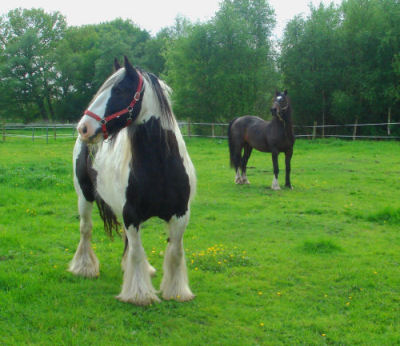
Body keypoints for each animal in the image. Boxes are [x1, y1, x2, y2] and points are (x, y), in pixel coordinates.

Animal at [69, 56, 197, 306]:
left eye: (119, 90)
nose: (83, 127)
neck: (160, 166)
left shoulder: (180, 215)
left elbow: (175, 252)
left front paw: (177, 291)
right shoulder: (131, 215)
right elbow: (137, 252)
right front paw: (139, 295)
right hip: (84, 196)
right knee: (86, 229)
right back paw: (84, 267)